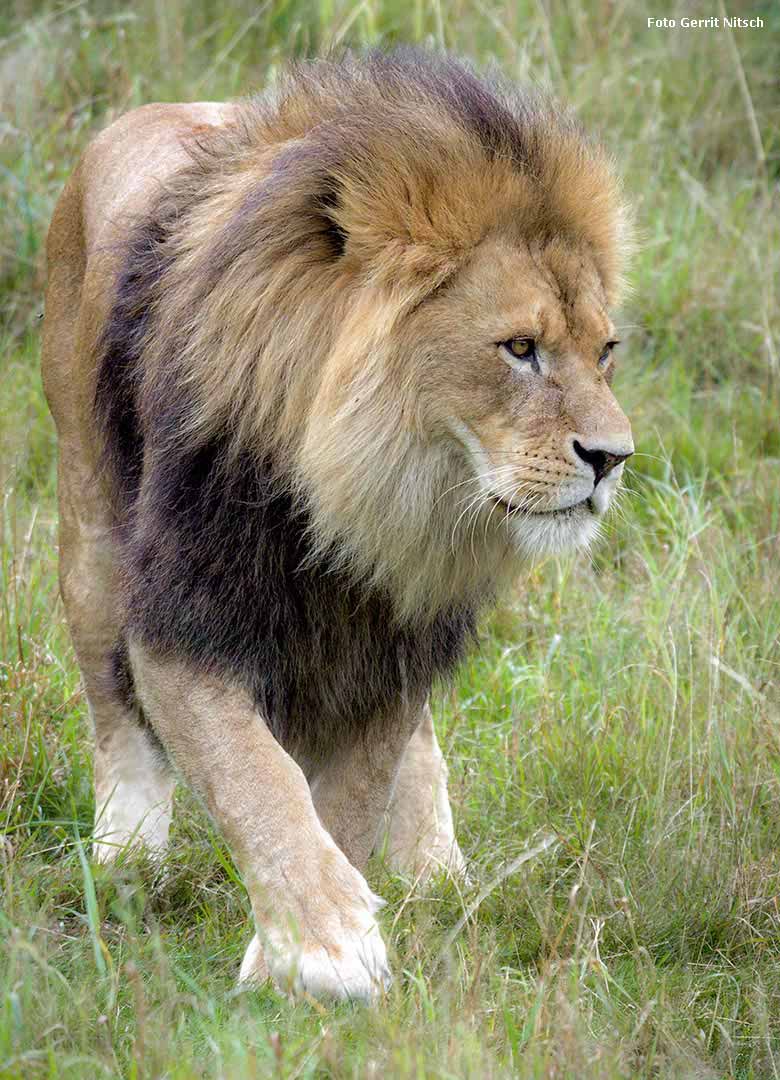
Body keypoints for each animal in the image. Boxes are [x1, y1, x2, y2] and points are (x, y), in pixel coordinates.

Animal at [41, 48, 630, 993]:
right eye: (519, 348)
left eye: (604, 350)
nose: (614, 458)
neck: (377, 501)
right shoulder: (180, 617)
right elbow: (255, 776)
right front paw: (324, 949)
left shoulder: (396, 637)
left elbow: (350, 795)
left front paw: (320, 931)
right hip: (90, 530)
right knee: (112, 709)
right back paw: (128, 857)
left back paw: (435, 870)